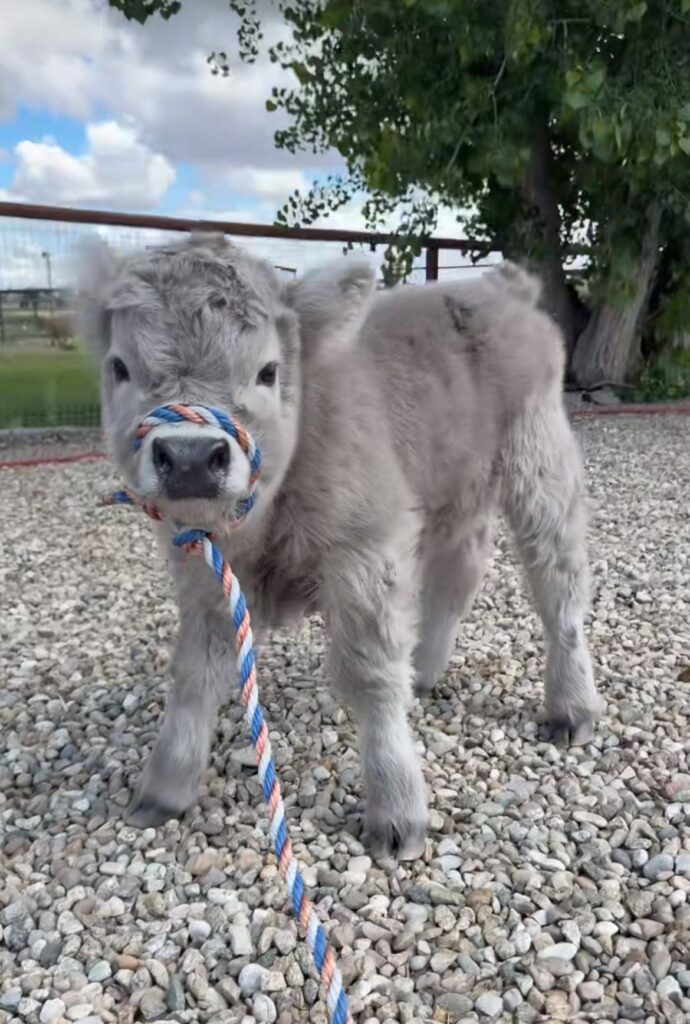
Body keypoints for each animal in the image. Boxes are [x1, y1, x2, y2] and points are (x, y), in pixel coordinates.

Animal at [80, 235, 601, 860]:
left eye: (268, 370)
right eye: (119, 367)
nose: (189, 457)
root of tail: (496, 286)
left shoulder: (365, 554)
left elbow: (370, 676)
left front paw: (397, 810)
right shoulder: (206, 573)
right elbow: (194, 673)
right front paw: (165, 786)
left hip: (538, 457)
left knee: (558, 584)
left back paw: (571, 706)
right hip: (454, 485)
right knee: (460, 569)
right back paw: (425, 669)